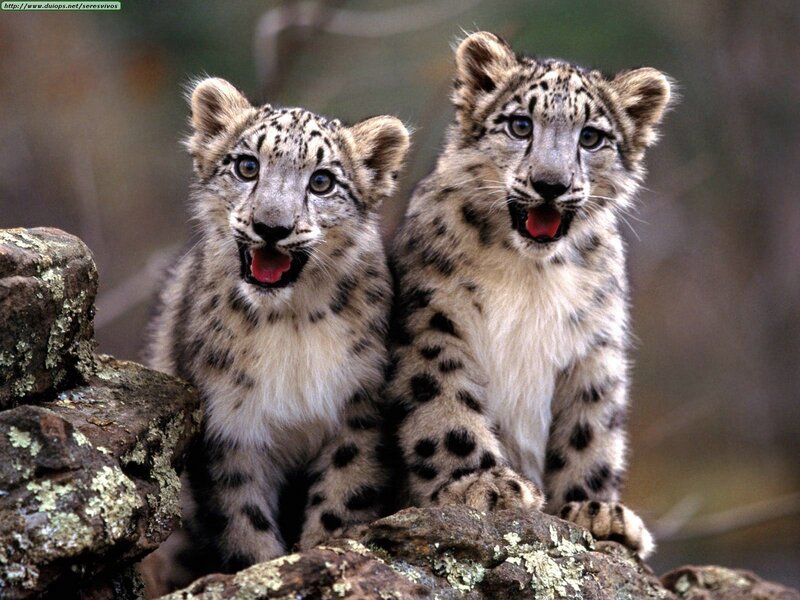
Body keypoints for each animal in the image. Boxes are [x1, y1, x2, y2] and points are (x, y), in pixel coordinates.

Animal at [142, 77, 409, 591]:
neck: (290, 325)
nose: (271, 227)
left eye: (322, 181)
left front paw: (322, 554)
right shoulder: (229, 427)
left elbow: (341, 499)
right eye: (247, 166)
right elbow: (243, 521)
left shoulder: (358, 411)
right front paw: (263, 571)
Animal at [387, 31, 673, 558]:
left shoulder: (594, 345)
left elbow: (590, 429)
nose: (550, 184)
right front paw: (481, 484)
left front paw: (595, 510)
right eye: (520, 124)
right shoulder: (432, 321)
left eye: (591, 137)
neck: (530, 274)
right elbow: (444, 404)